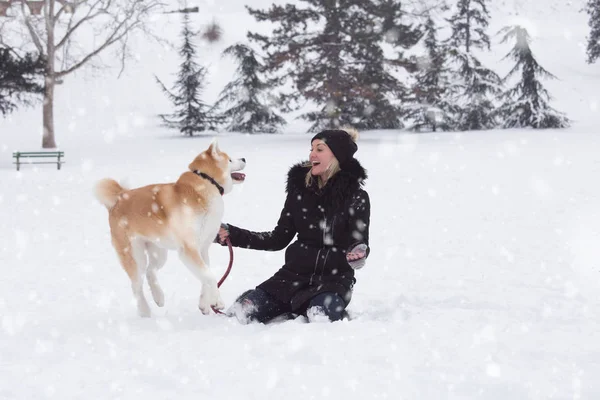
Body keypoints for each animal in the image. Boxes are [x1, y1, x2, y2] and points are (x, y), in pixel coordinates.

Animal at [94, 139, 244, 318]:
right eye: (230, 159)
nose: (244, 158)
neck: (207, 183)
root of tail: (119, 198)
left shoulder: (202, 248)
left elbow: (205, 275)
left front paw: (204, 304)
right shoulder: (188, 249)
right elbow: (210, 276)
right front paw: (217, 301)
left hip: (159, 252)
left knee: (150, 272)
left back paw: (158, 297)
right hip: (134, 256)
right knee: (136, 286)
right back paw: (145, 311)